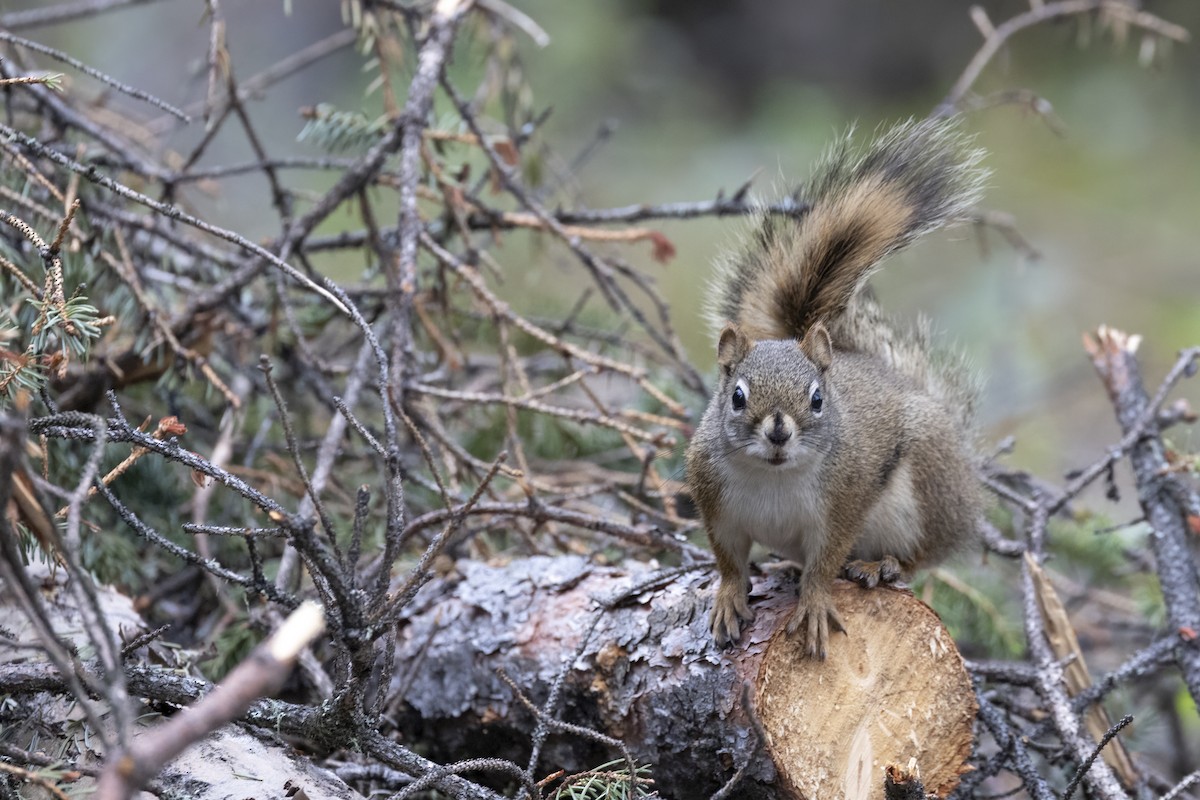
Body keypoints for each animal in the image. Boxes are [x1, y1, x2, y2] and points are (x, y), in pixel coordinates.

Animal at [684, 119, 988, 659]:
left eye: (817, 398)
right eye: (737, 396)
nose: (778, 432)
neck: (774, 477)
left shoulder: (845, 499)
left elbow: (825, 562)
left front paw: (814, 603)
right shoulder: (714, 501)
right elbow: (728, 560)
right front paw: (728, 597)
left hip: (926, 485)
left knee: (924, 552)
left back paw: (880, 565)